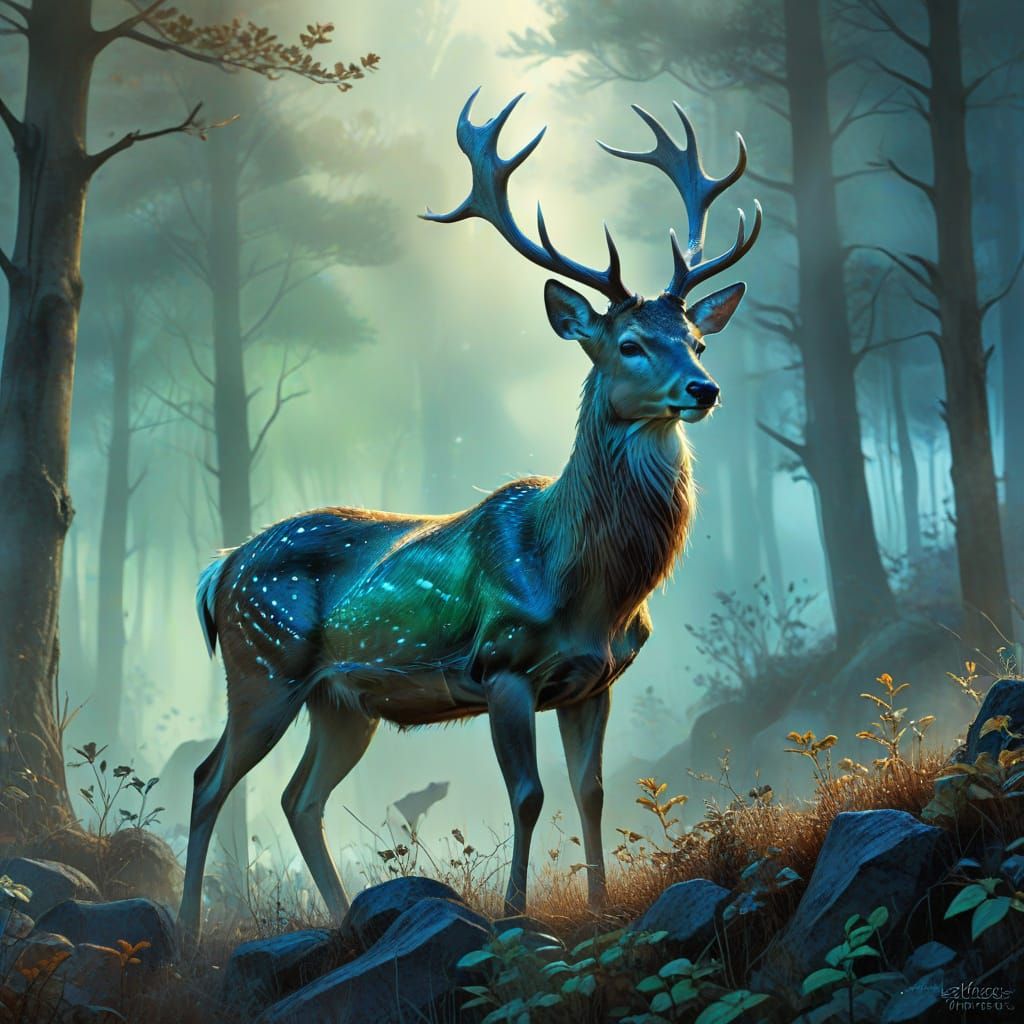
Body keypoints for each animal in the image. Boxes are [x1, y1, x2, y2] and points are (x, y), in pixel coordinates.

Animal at [177, 91, 761, 940]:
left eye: (695, 339)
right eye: (628, 342)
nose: (705, 389)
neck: (591, 587)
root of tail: (218, 568)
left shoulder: (596, 681)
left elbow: (591, 792)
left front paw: (599, 906)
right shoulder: (503, 666)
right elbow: (529, 795)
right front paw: (517, 914)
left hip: (339, 702)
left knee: (298, 797)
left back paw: (345, 919)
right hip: (262, 664)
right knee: (208, 777)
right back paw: (188, 931)